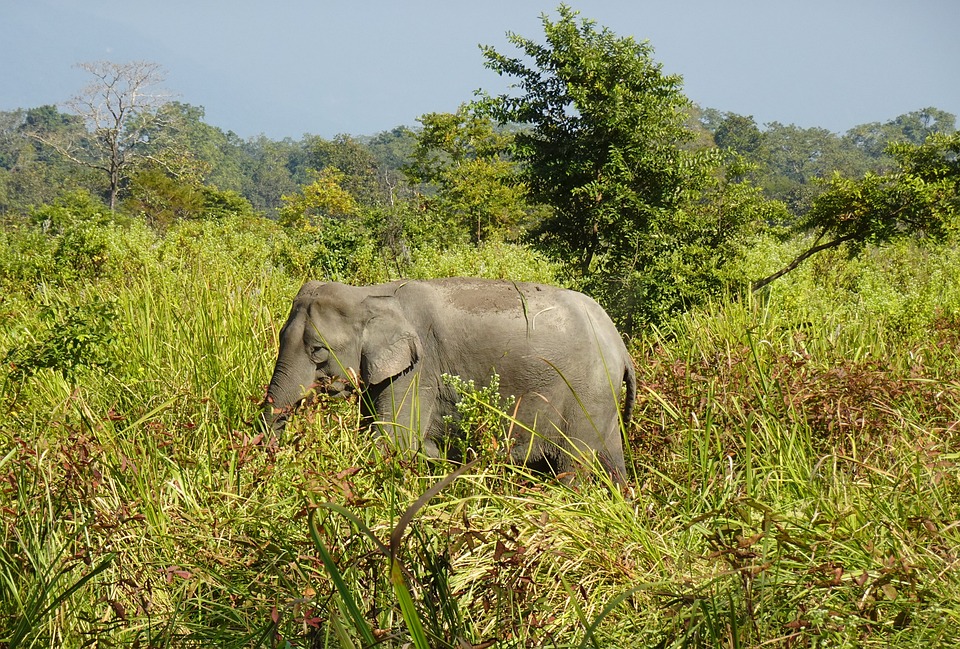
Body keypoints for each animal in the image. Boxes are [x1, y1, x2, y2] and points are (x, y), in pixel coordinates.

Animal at [260, 276, 636, 484]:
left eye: (318, 351)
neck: (369, 293)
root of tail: (620, 344)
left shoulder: (419, 369)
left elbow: (393, 440)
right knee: (613, 463)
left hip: (585, 395)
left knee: (574, 466)